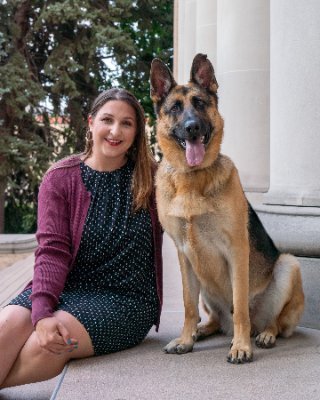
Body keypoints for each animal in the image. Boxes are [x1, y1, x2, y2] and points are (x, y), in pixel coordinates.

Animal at [151, 52, 304, 362]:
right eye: (175, 108)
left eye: (200, 103)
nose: (192, 127)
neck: (192, 178)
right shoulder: (183, 254)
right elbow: (188, 306)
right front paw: (185, 339)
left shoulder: (236, 248)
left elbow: (240, 306)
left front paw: (241, 346)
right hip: (204, 286)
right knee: (212, 318)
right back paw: (201, 331)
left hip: (289, 265)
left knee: (273, 321)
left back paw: (265, 334)